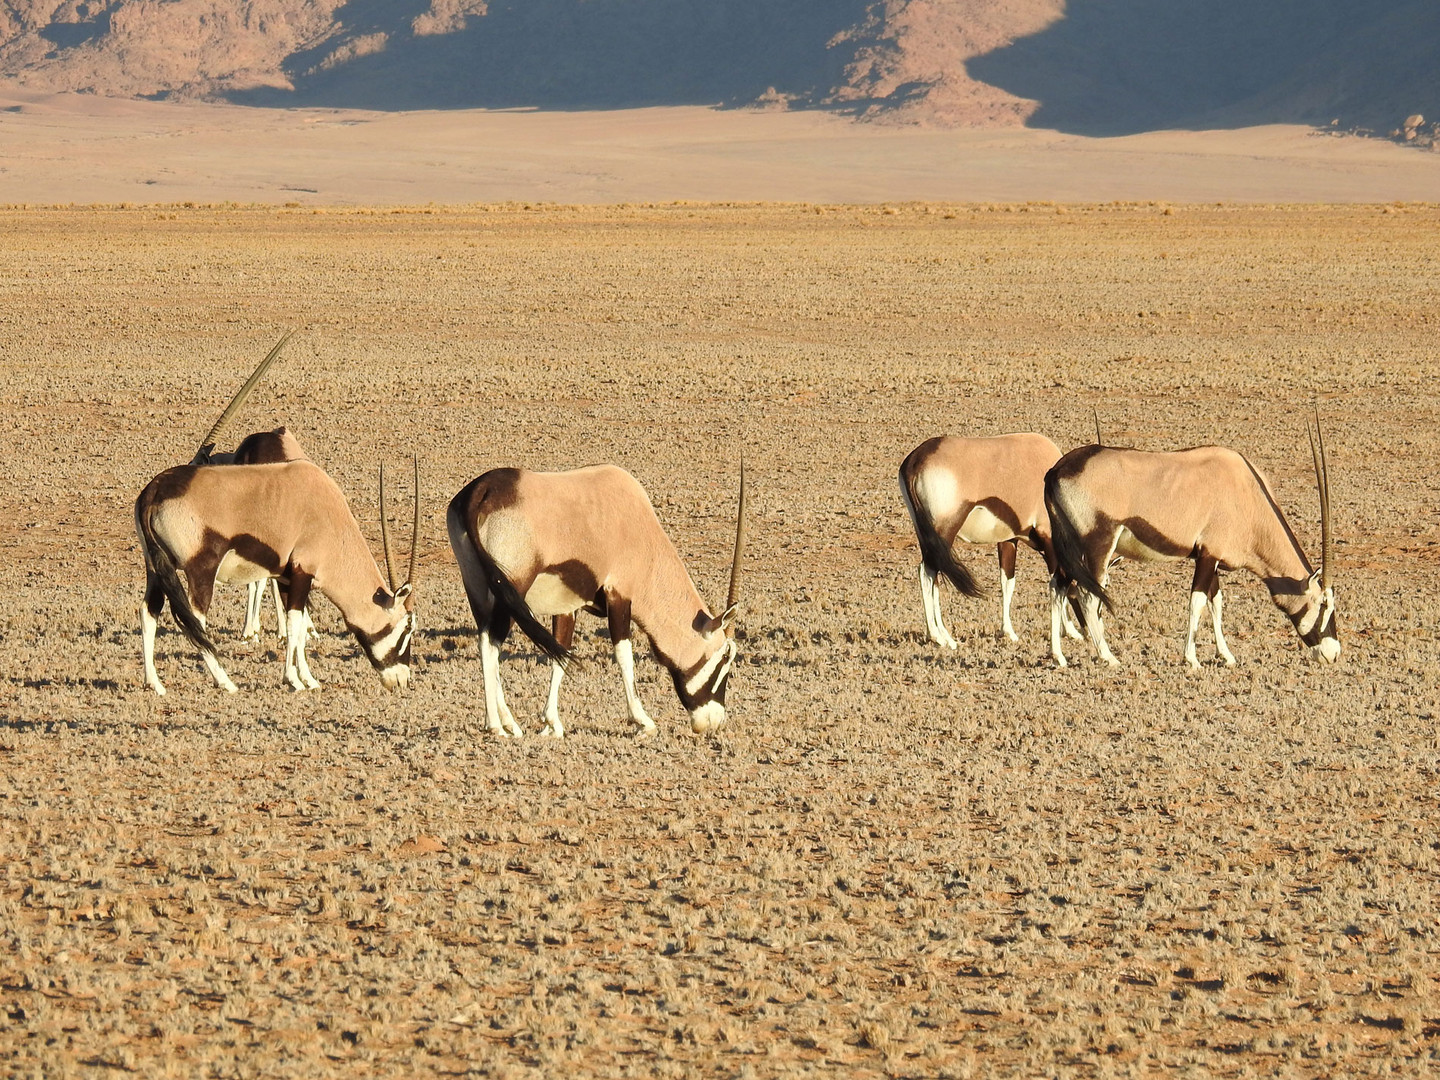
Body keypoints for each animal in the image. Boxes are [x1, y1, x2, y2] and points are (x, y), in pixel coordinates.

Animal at [135, 455, 420, 694]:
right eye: (408, 627)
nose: (401, 680)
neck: (328, 516)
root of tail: (154, 490)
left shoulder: (287, 579)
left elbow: (302, 628)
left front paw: (309, 679)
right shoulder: (303, 573)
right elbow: (295, 625)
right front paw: (293, 680)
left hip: (156, 568)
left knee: (149, 612)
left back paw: (154, 684)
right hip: (201, 570)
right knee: (195, 622)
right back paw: (226, 682)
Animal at [446, 460, 743, 743]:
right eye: (726, 656)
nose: (714, 721)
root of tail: (480, 491)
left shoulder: (567, 606)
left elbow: (561, 653)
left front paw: (552, 724)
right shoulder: (619, 596)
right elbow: (624, 655)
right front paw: (643, 723)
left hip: (479, 589)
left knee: (485, 640)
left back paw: (509, 723)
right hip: (510, 589)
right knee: (492, 645)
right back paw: (496, 726)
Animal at [892, 434, 1082, 650]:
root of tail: (914, 461)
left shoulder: (1009, 539)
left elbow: (1007, 582)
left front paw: (1008, 632)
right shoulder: (1048, 537)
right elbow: (1059, 583)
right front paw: (1071, 631)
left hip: (927, 537)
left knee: (933, 575)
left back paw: (944, 636)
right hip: (945, 531)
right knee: (927, 573)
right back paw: (938, 637)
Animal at [1048, 429, 1336, 668]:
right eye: (1324, 604)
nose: (1333, 654)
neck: (1247, 494)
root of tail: (1056, 470)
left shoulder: (1213, 557)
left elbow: (1216, 601)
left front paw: (1226, 655)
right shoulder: (1208, 555)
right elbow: (1197, 602)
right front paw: (1192, 659)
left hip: (1069, 550)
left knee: (1057, 586)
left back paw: (1058, 656)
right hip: (1098, 545)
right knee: (1087, 595)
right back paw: (1108, 657)